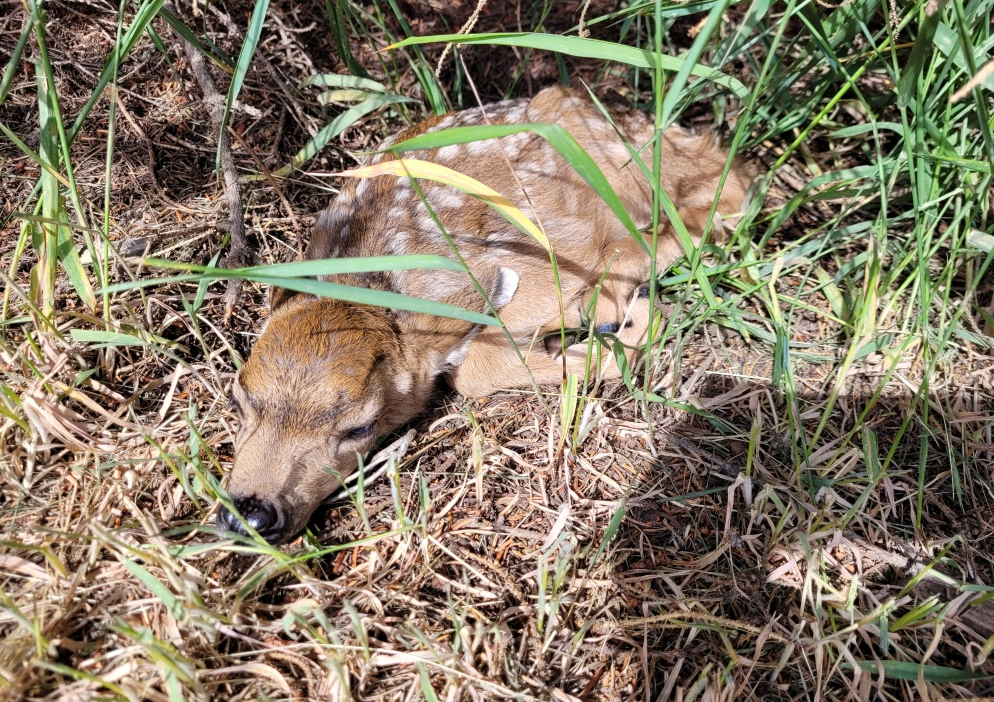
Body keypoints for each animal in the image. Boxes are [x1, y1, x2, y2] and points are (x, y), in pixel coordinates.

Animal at [217, 85, 752, 544]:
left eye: (360, 428)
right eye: (238, 401)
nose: (250, 514)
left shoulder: (540, 266)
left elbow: (474, 369)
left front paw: (604, 340)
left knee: (727, 194)